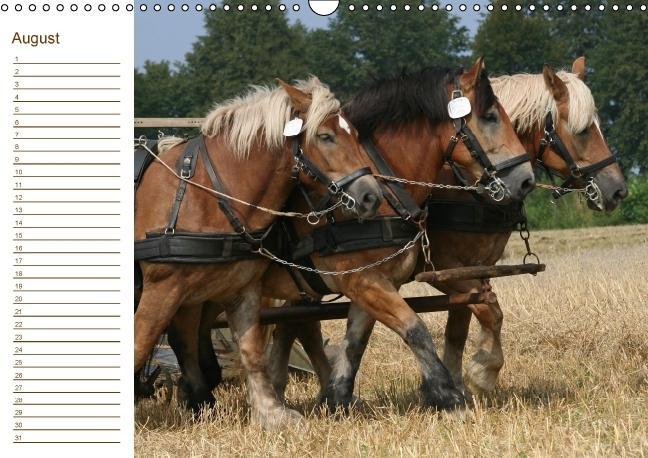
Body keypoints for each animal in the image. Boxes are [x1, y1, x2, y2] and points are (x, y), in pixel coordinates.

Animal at [134, 77, 384, 430]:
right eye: (325, 136)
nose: (371, 196)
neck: (204, 193)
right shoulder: (162, 289)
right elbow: (139, 344)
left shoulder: (241, 288)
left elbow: (251, 350)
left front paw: (272, 413)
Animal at [165, 58, 536, 416]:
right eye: (490, 117)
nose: (526, 179)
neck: (386, 187)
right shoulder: (368, 280)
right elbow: (417, 328)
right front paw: (452, 392)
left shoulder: (379, 281)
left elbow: (356, 342)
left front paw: (336, 398)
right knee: (186, 332)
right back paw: (201, 395)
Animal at [266, 57, 628, 407]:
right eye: (583, 130)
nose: (618, 190)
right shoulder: (442, 271)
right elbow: (489, 311)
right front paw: (479, 374)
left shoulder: (472, 269)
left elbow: (459, 326)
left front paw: (456, 382)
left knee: (293, 325)